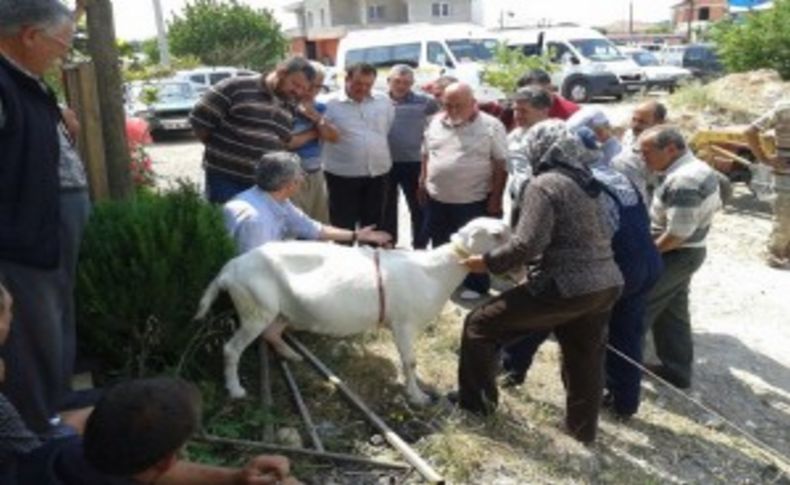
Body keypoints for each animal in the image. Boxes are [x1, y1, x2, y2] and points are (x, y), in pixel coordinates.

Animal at [195, 217, 510, 402]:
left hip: (279, 310)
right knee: (232, 349)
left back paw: (292, 356)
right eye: (496, 234)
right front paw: (418, 396)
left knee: (272, 333)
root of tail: (229, 269)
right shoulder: (404, 324)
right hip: (254, 309)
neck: (434, 271)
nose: (517, 246)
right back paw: (235, 389)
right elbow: (410, 362)